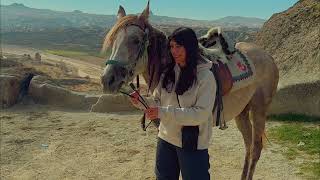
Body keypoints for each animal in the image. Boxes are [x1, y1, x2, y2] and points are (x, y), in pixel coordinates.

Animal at [100, 1, 280, 180]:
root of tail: (268, 57)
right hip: (241, 112)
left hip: (258, 110)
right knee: (248, 145)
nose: (107, 80)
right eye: (113, 39)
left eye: (136, 40)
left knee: (256, 148)